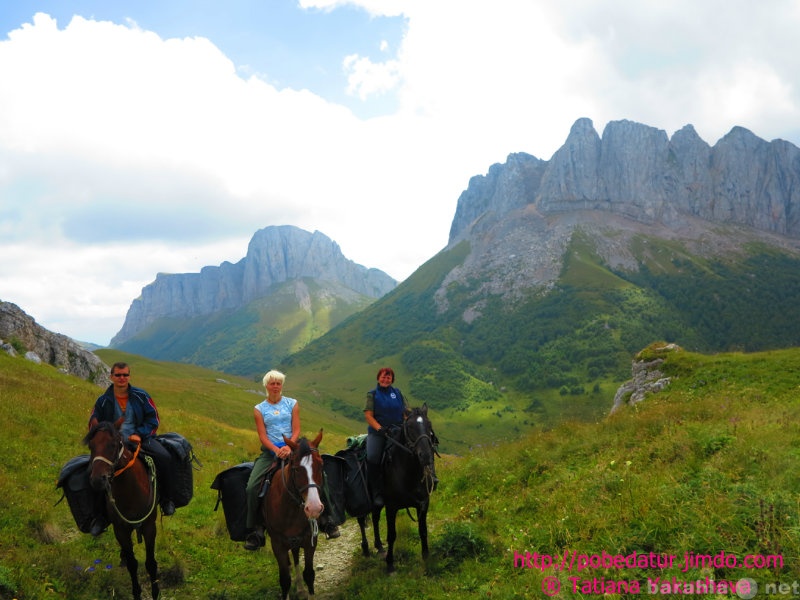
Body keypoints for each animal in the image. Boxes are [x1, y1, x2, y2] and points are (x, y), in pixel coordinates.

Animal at [84, 422, 159, 600]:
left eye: (113, 444)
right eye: (91, 446)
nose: (97, 480)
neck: (131, 492)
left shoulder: (149, 527)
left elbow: (151, 563)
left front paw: (155, 592)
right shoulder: (120, 531)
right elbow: (132, 564)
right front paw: (137, 593)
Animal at [262, 432, 324, 600]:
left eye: (321, 465)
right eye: (296, 469)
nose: (314, 508)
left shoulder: (310, 540)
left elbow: (309, 574)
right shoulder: (277, 545)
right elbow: (284, 580)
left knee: (296, 557)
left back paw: (301, 589)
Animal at [358, 404, 438, 572]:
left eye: (429, 424)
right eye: (410, 426)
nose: (426, 455)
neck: (409, 473)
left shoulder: (423, 504)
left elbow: (423, 531)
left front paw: (426, 558)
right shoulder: (392, 507)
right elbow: (392, 535)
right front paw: (390, 564)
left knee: (374, 518)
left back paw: (379, 547)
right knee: (362, 520)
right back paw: (366, 548)